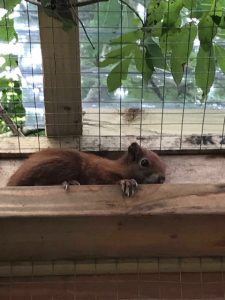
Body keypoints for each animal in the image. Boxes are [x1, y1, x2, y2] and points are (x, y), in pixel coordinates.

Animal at [7, 143, 165, 197]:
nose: (163, 179)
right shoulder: (100, 169)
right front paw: (127, 182)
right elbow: (107, 178)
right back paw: (68, 182)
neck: (121, 167)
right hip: (63, 163)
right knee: (38, 182)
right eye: (144, 162)